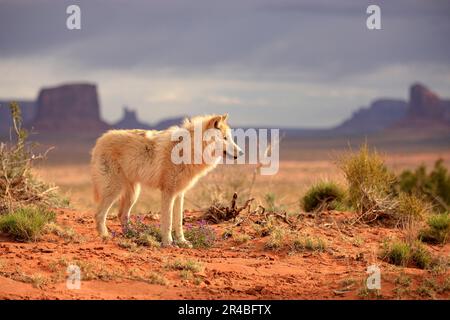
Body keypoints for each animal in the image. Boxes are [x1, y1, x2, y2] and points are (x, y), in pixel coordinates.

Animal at [91, 115, 243, 248]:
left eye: (230, 138)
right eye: (225, 138)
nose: (241, 152)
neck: (189, 149)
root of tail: (100, 140)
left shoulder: (179, 193)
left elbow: (178, 222)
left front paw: (182, 242)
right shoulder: (168, 192)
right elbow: (168, 221)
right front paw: (168, 243)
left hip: (133, 194)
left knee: (122, 215)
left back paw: (132, 234)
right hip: (114, 190)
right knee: (99, 214)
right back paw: (105, 236)